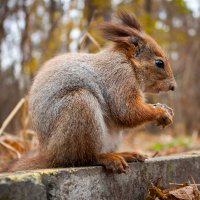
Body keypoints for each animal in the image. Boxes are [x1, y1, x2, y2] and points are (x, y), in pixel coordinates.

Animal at [8, 10, 177, 173]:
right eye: (159, 63)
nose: (173, 87)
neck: (129, 63)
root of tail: (49, 155)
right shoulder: (119, 76)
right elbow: (126, 111)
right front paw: (161, 112)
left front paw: (164, 108)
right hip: (80, 107)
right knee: (85, 158)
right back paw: (108, 158)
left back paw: (126, 154)